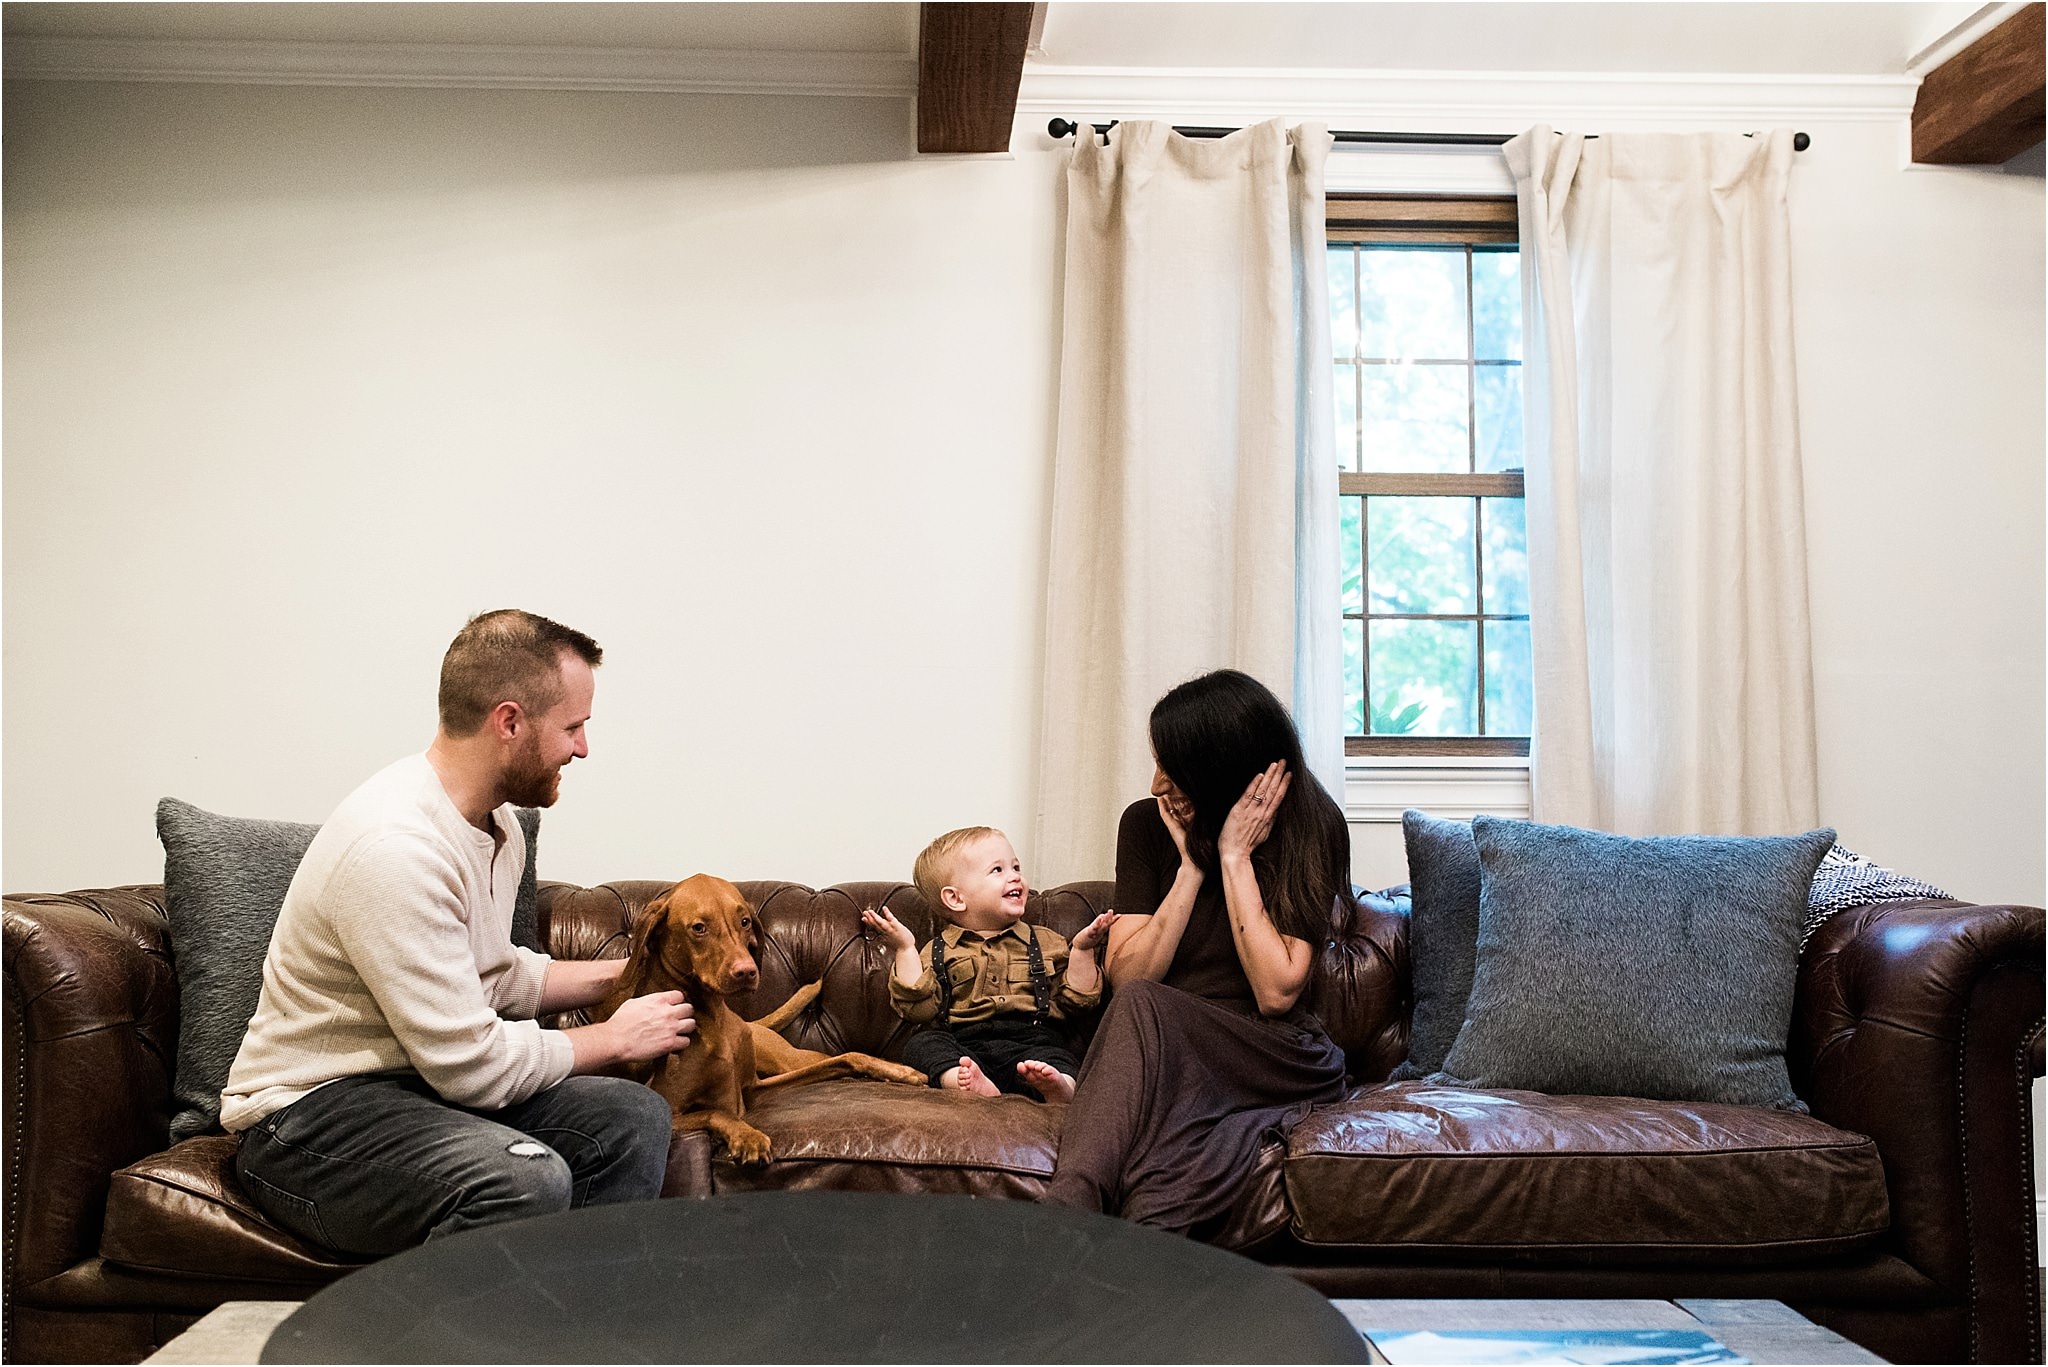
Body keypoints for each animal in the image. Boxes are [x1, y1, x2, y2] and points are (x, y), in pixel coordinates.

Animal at [598, 877, 925, 1164]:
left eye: (744, 921)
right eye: (699, 928)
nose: (747, 972)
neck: (715, 1018)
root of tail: (753, 1025)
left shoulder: (754, 1088)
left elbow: (845, 1058)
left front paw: (900, 1071)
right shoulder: (674, 1111)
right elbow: (718, 1113)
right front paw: (748, 1137)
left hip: (788, 1060)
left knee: (838, 1057)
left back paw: (897, 1070)